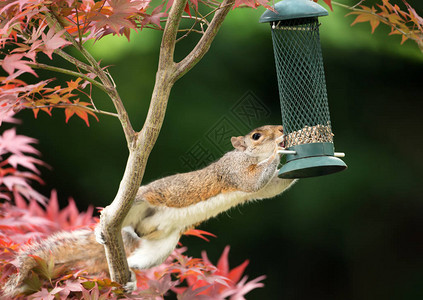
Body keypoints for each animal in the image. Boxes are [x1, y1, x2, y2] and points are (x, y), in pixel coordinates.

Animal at [3, 125, 296, 296]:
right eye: (257, 135)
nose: (281, 128)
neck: (250, 156)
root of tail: (135, 231)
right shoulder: (234, 171)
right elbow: (252, 181)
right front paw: (280, 149)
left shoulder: (262, 189)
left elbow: (272, 188)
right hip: (137, 202)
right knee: (112, 216)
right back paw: (102, 228)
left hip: (162, 245)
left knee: (137, 261)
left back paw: (130, 278)